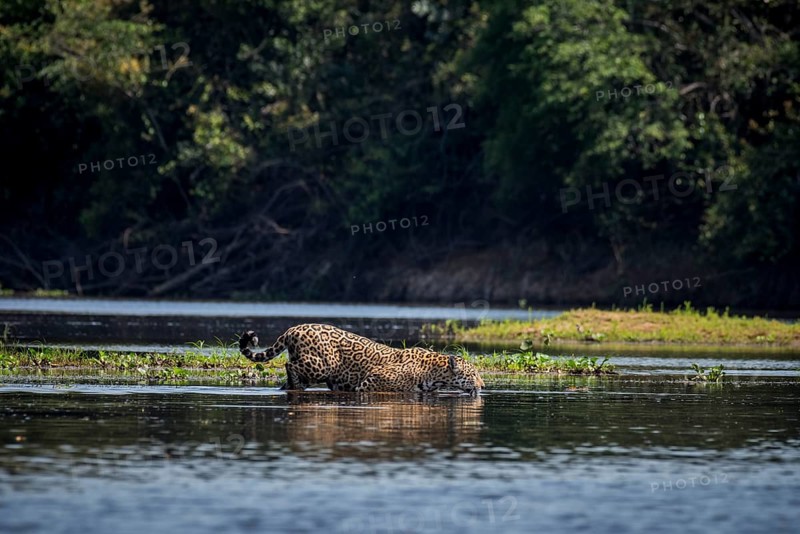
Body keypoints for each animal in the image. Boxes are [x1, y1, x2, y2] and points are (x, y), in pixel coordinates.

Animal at [238, 323, 484, 395]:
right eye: (472, 374)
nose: (482, 386)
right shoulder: (373, 379)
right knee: (289, 365)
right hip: (321, 366)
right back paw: (295, 386)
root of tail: (293, 329)